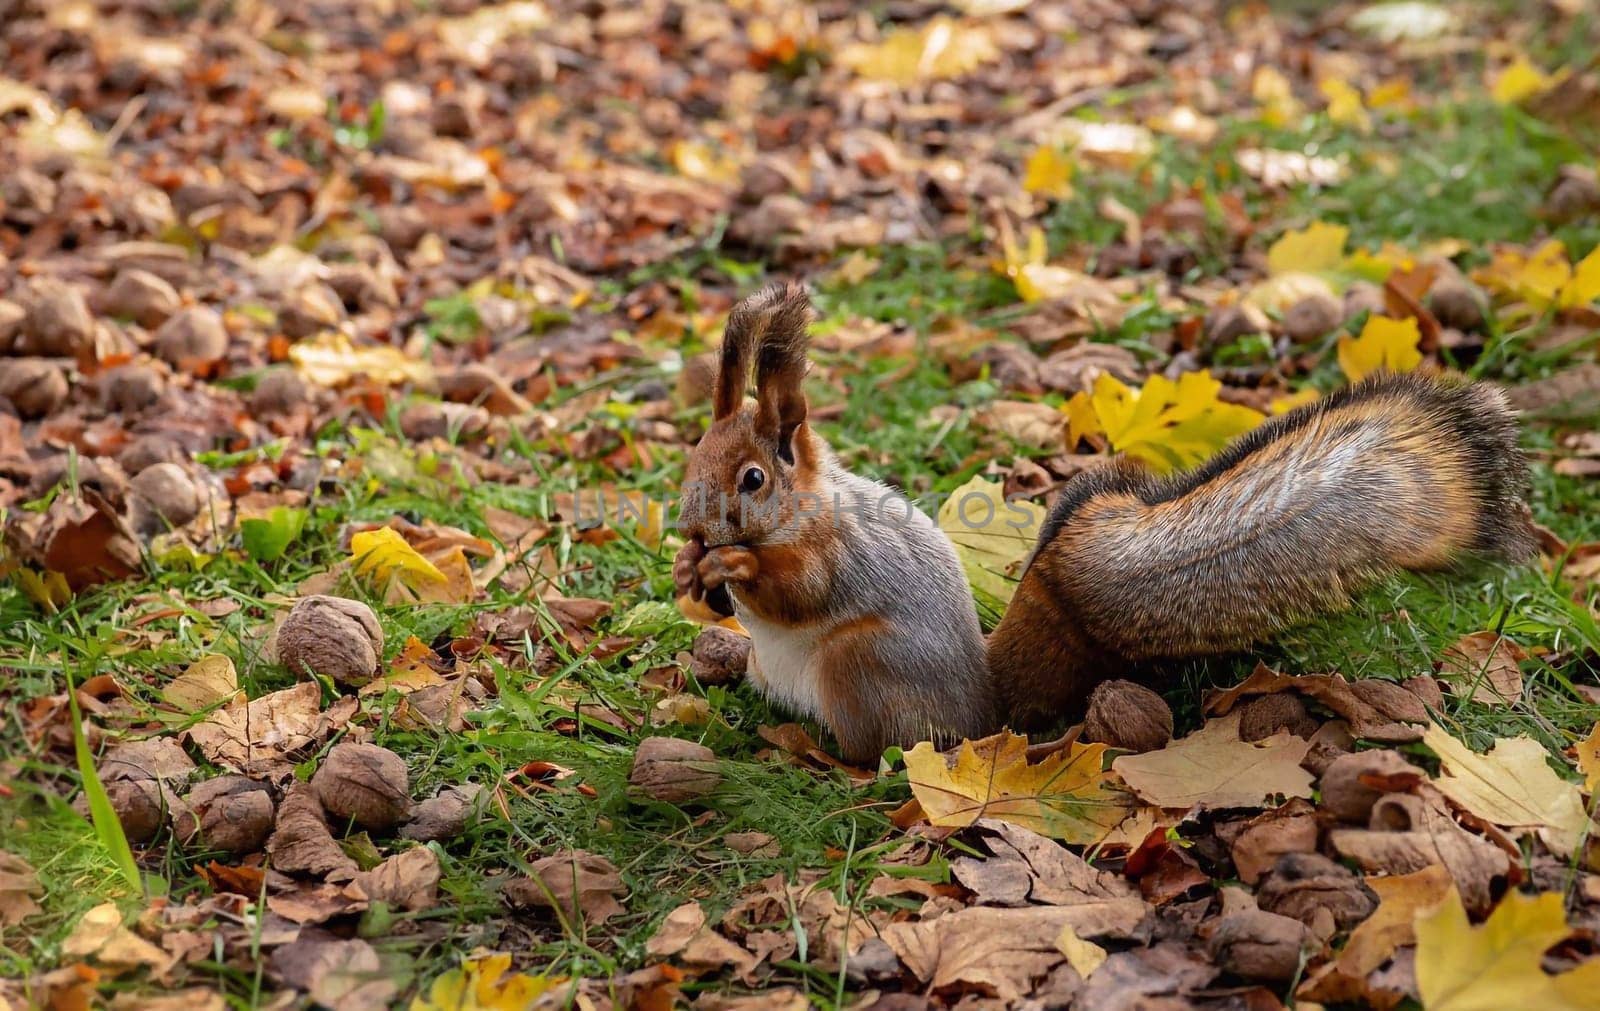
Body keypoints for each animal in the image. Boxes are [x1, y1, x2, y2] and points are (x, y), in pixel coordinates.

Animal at [672, 279, 1536, 761]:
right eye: (692, 454)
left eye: (753, 477)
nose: (694, 523)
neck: (802, 509)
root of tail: (985, 715)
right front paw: (689, 567)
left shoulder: (838, 550)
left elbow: (802, 587)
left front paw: (732, 565)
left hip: (861, 666)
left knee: (873, 754)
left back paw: (811, 756)